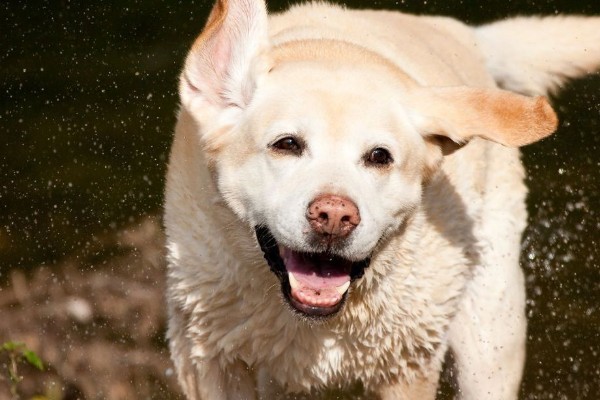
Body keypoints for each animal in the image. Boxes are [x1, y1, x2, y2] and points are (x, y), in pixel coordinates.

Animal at [164, 1, 600, 398]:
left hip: (491, 326)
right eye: (286, 144)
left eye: (379, 156)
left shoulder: (408, 365)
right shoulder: (208, 357)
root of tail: (460, 32)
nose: (334, 216)